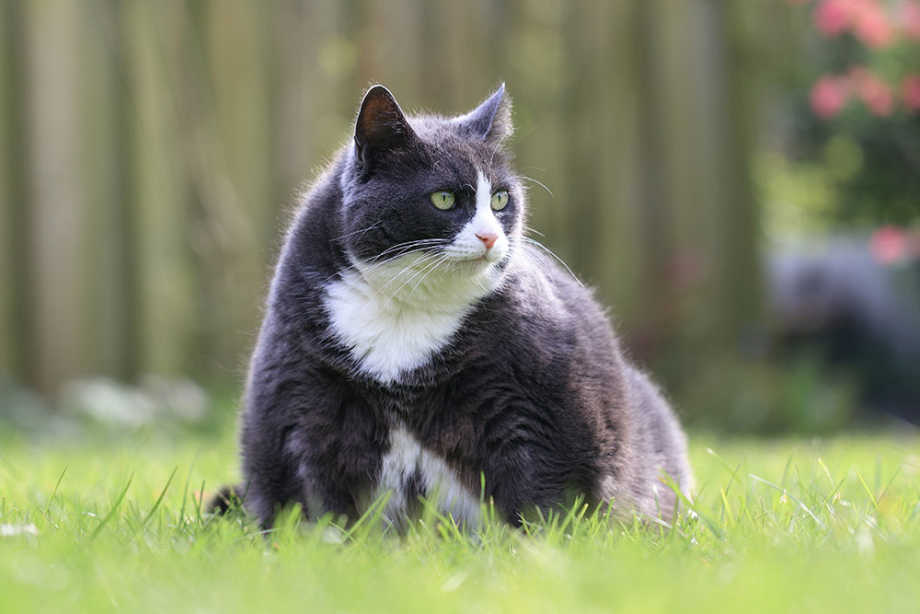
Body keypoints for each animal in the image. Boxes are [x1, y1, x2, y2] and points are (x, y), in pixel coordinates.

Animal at [212, 84, 692, 532]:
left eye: (500, 199)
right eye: (443, 199)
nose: (490, 236)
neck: (406, 308)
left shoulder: (530, 401)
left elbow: (540, 490)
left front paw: (533, 551)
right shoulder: (304, 395)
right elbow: (315, 494)